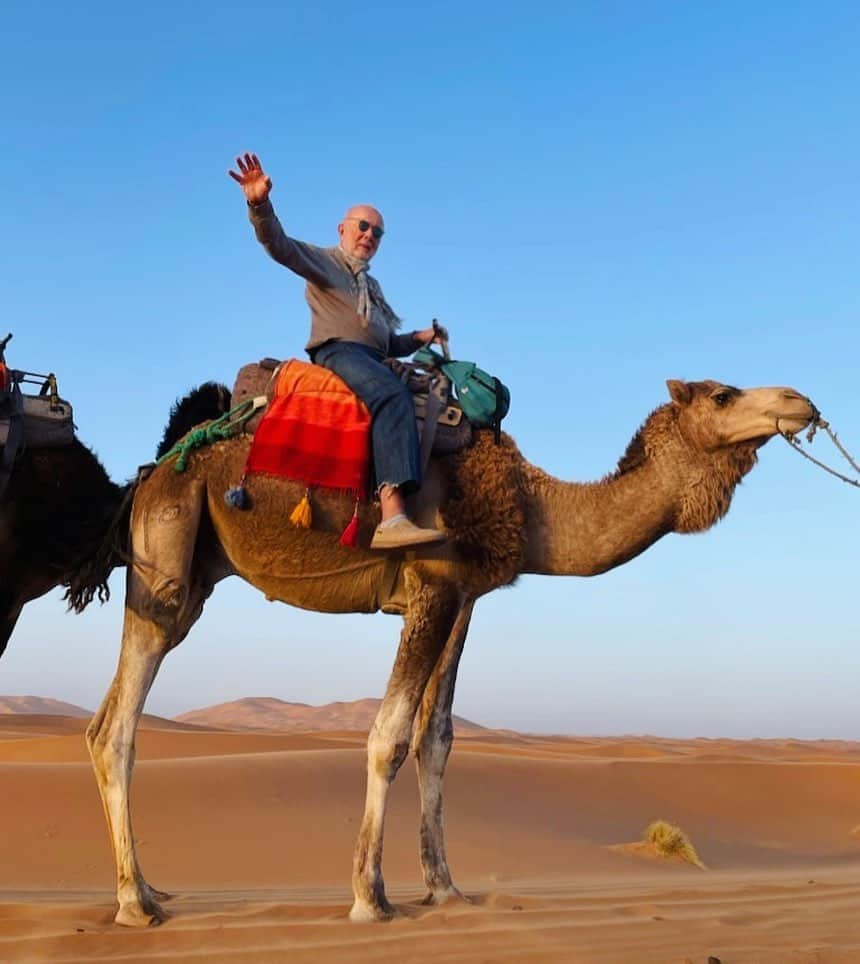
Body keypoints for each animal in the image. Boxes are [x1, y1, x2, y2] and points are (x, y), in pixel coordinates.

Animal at [85, 376, 812, 928]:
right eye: (724, 395)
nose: (801, 401)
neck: (530, 504)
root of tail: (149, 475)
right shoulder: (432, 582)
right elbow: (388, 736)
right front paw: (370, 897)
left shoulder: (463, 596)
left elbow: (437, 738)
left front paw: (445, 889)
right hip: (166, 560)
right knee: (119, 726)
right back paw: (133, 904)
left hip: (194, 571)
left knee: (100, 724)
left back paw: (145, 890)